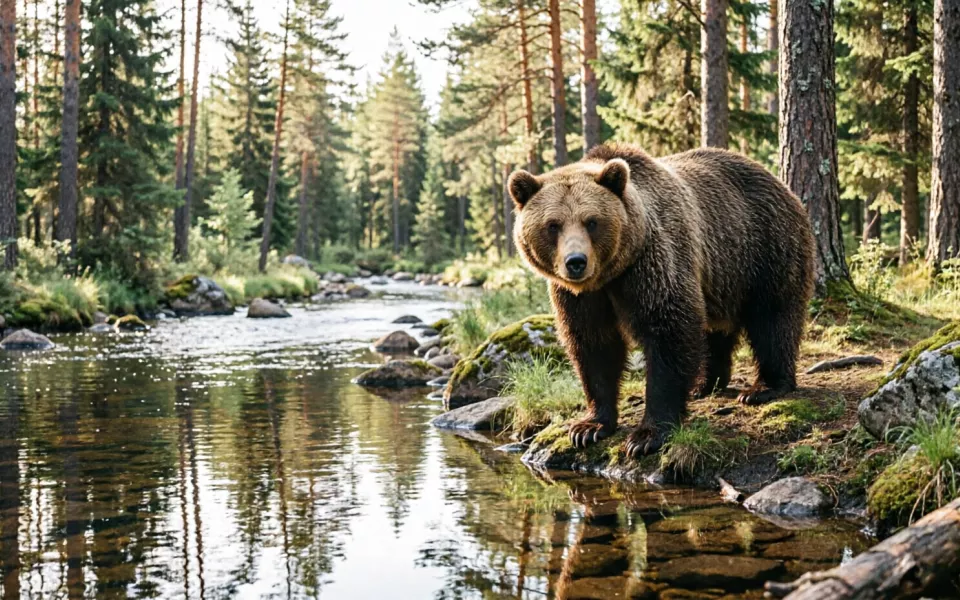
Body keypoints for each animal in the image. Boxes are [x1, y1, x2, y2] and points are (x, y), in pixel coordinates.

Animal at [508, 143, 815, 458]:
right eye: (553, 225)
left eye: (591, 221)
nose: (576, 262)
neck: (610, 275)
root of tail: (779, 183)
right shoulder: (579, 297)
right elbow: (594, 346)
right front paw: (589, 427)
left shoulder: (653, 263)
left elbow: (669, 332)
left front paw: (647, 435)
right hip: (721, 277)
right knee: (715, 330)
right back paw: (705, 383)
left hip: (762, 248)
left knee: (772, 319)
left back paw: (764, 387)